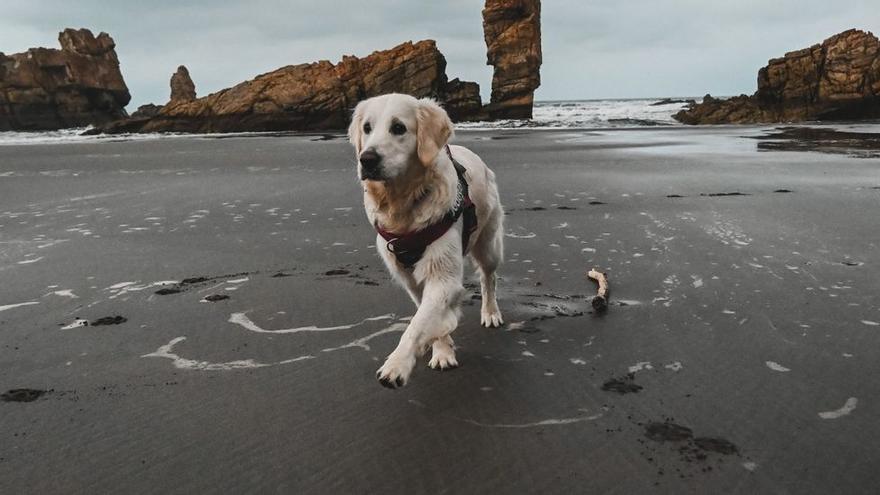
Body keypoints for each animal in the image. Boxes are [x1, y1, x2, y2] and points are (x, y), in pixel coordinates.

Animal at [348, 92, 506, 388]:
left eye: (398, 127)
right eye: (367, 128)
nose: (367, 159)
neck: (404, 203)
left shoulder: (441, 274)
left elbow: (418, 324)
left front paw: (396, 365)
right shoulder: (408, 276)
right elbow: (429, 316)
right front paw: (442, 351)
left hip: (489, 243)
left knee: (488, 277)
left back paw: (490, 313)